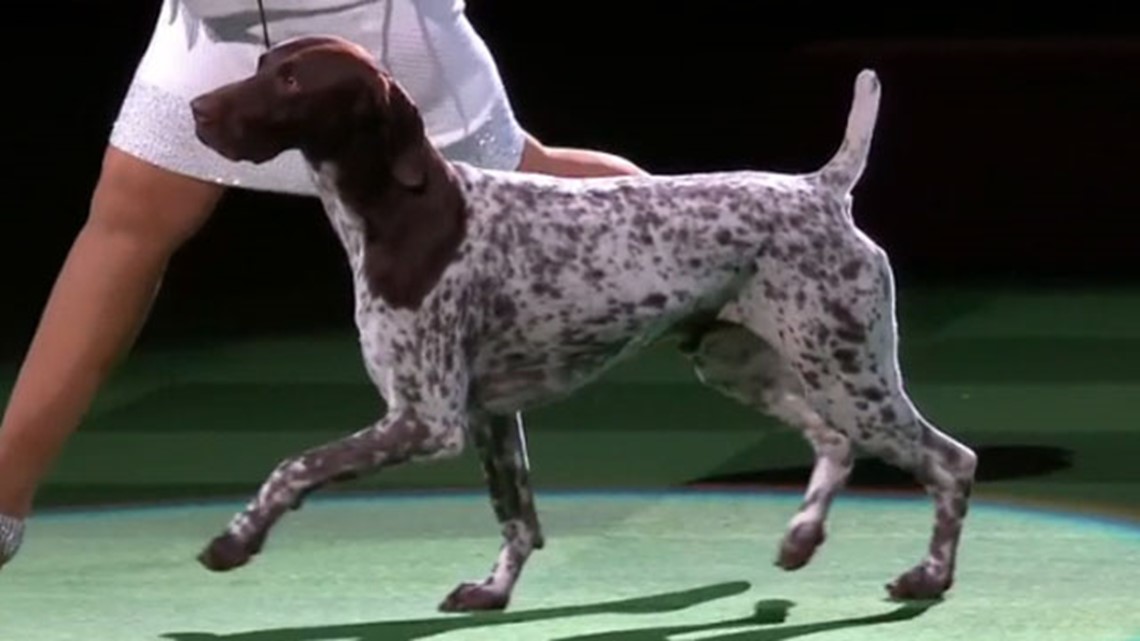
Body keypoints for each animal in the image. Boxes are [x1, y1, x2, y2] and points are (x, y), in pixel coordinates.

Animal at [189, 33, 980, 606]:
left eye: (293, 81)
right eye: (262, 65)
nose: (195, 109)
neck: (404, 213)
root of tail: (822, 189)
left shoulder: (425, 419)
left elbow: (293, 466)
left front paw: (235, 540)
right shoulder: (487, 418)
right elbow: (518, 518)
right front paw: (494, 590)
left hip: (853, 375)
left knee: (951, 463)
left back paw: (928, 577)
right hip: (748, 368)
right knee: (835, 442)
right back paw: (802, 537)